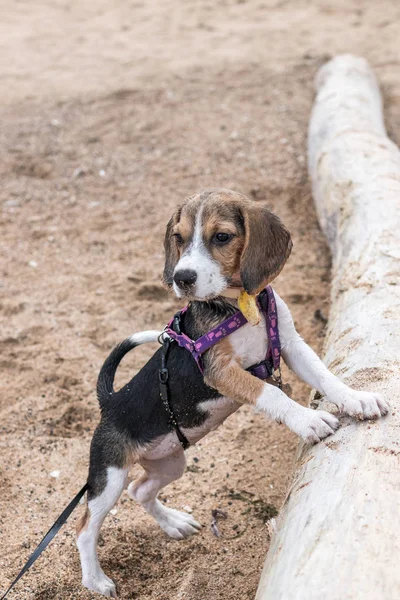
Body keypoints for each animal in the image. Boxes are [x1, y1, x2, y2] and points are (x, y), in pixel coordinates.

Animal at [76, 186, 390, 596]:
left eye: (222, 237)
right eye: (178, 238)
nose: (181, 278)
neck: (240, 305)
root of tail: (110, 402)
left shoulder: (290, 344)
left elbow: (325, 376)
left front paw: (357, 399)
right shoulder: (220, 371)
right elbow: (272, 394)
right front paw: (308, 421)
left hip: (169, 461)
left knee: (141, 490)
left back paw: (174, 523)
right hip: (109, 475)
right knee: (85, 527)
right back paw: (96, 580)